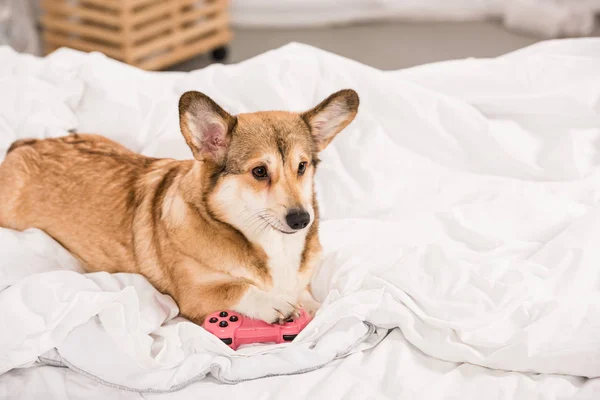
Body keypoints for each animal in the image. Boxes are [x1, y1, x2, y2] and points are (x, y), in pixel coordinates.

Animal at [0, 89, 356, 324]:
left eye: (302, 166)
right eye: (259, 172)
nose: (301, 219)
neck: (268, 242)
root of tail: (25, 145)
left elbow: (310, 298)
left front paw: (314, 308)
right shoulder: (194, 296)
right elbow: (238, 289)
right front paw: (276, 304)